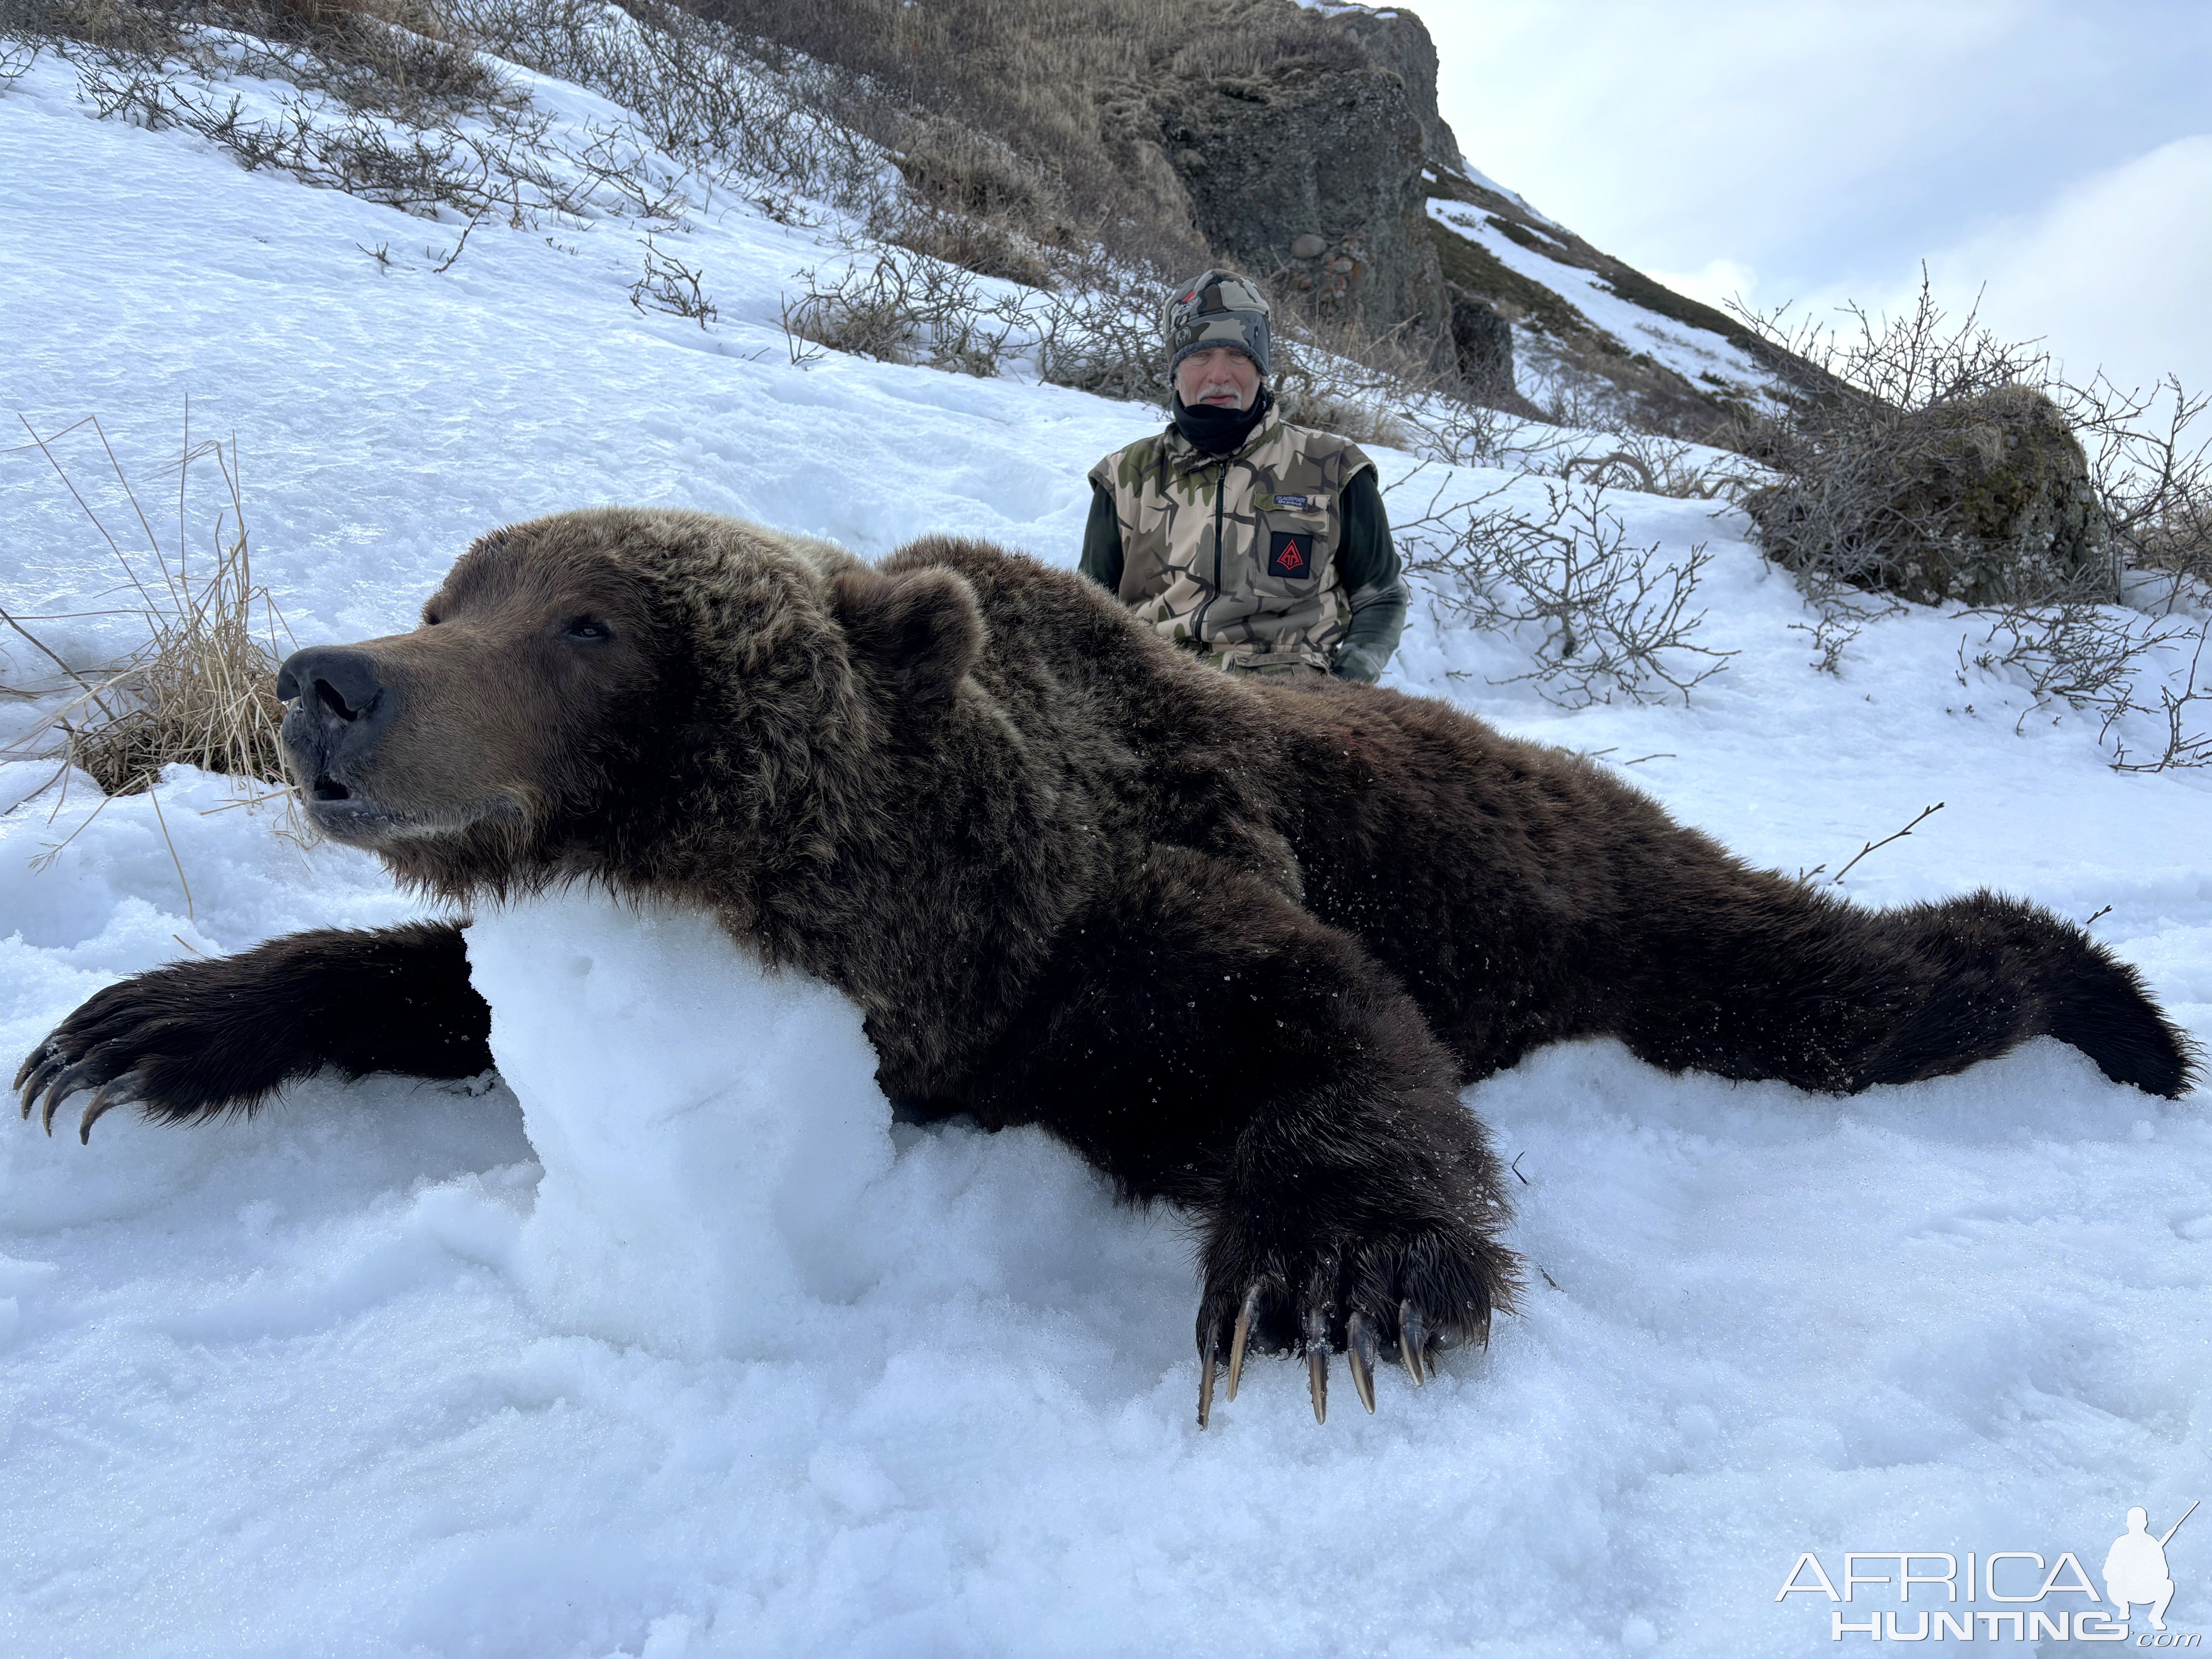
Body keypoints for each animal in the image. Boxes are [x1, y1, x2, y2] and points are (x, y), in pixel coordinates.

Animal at [13, 511, 2194, 1433]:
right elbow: (421, 982)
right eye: (456, 588)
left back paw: (2116, 1009)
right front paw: (144, 1025)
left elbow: (1321, 1025)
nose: (327, 683)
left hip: (1609, 910)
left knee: (1838, 985)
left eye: (588, 623)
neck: (914, 912)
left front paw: (1332, 1281)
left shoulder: (1115, 921)